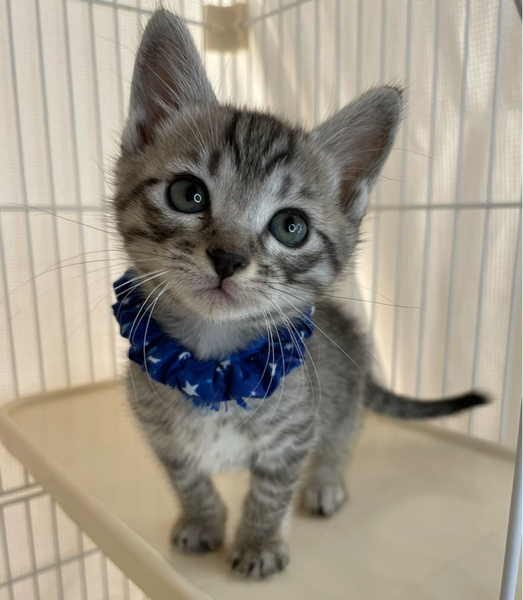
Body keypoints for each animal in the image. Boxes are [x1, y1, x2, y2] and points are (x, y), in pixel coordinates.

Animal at [112, 9, 486, 579]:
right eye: (187, 194)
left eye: (291, 227)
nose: (228, 257)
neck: (213, 363)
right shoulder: (160, 435)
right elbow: (190, 480)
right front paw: (203, 521)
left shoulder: (294, 437)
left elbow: (271, 492)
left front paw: (260, 543)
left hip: (343, 397)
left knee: (341, 440)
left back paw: (326, 483)